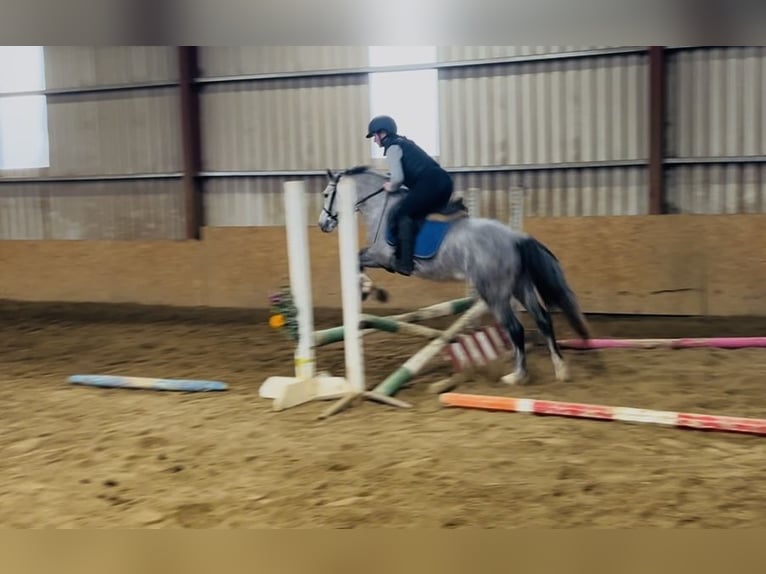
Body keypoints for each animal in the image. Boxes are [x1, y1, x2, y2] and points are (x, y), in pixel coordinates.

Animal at [317, 165, 591, 386]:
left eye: (327, 194)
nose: (323, 225)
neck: (381, 208)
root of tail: (515, 237)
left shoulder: (381, 256)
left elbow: (357, 259)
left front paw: (367, 290)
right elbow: (358, 260)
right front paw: (368, 290)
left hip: (494, 293)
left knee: (515, 328)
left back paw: (517, 376)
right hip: (520, 287)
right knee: (543, 320)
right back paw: (560, 369)